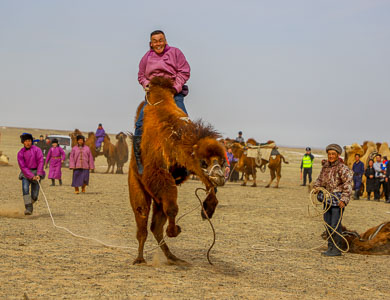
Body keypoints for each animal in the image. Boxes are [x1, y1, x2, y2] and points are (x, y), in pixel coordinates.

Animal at [129, 77, 225, 264]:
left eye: (222, 161)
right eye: (203, 162)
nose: (220, 177)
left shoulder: (185, 170)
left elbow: (209, 189)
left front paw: (207, 210)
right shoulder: (157, 174)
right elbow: (173, 208)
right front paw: (175, 230)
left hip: (157, 199)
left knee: (155, 227)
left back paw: (172, 257)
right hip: (138, 186)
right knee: (142, 221)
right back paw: (140, 258)